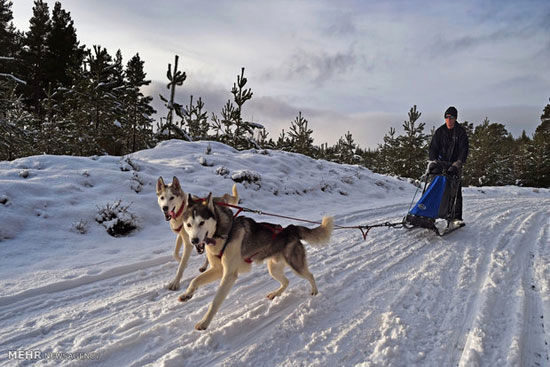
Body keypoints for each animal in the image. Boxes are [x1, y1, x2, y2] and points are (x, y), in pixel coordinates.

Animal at [179, 193, 334, 330]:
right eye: (188, 224)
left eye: (201, 222)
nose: (194, 241)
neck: (223, 233)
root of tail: (291, 228)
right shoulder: (218, 270)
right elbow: (195, 280)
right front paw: (187, 295)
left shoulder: (229, 275)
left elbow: (215, 302)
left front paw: (204, 322)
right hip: (274, 269)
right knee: (286, 281)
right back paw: (275, 294)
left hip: (296, 266)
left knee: (310, 275)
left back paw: (314, 291)